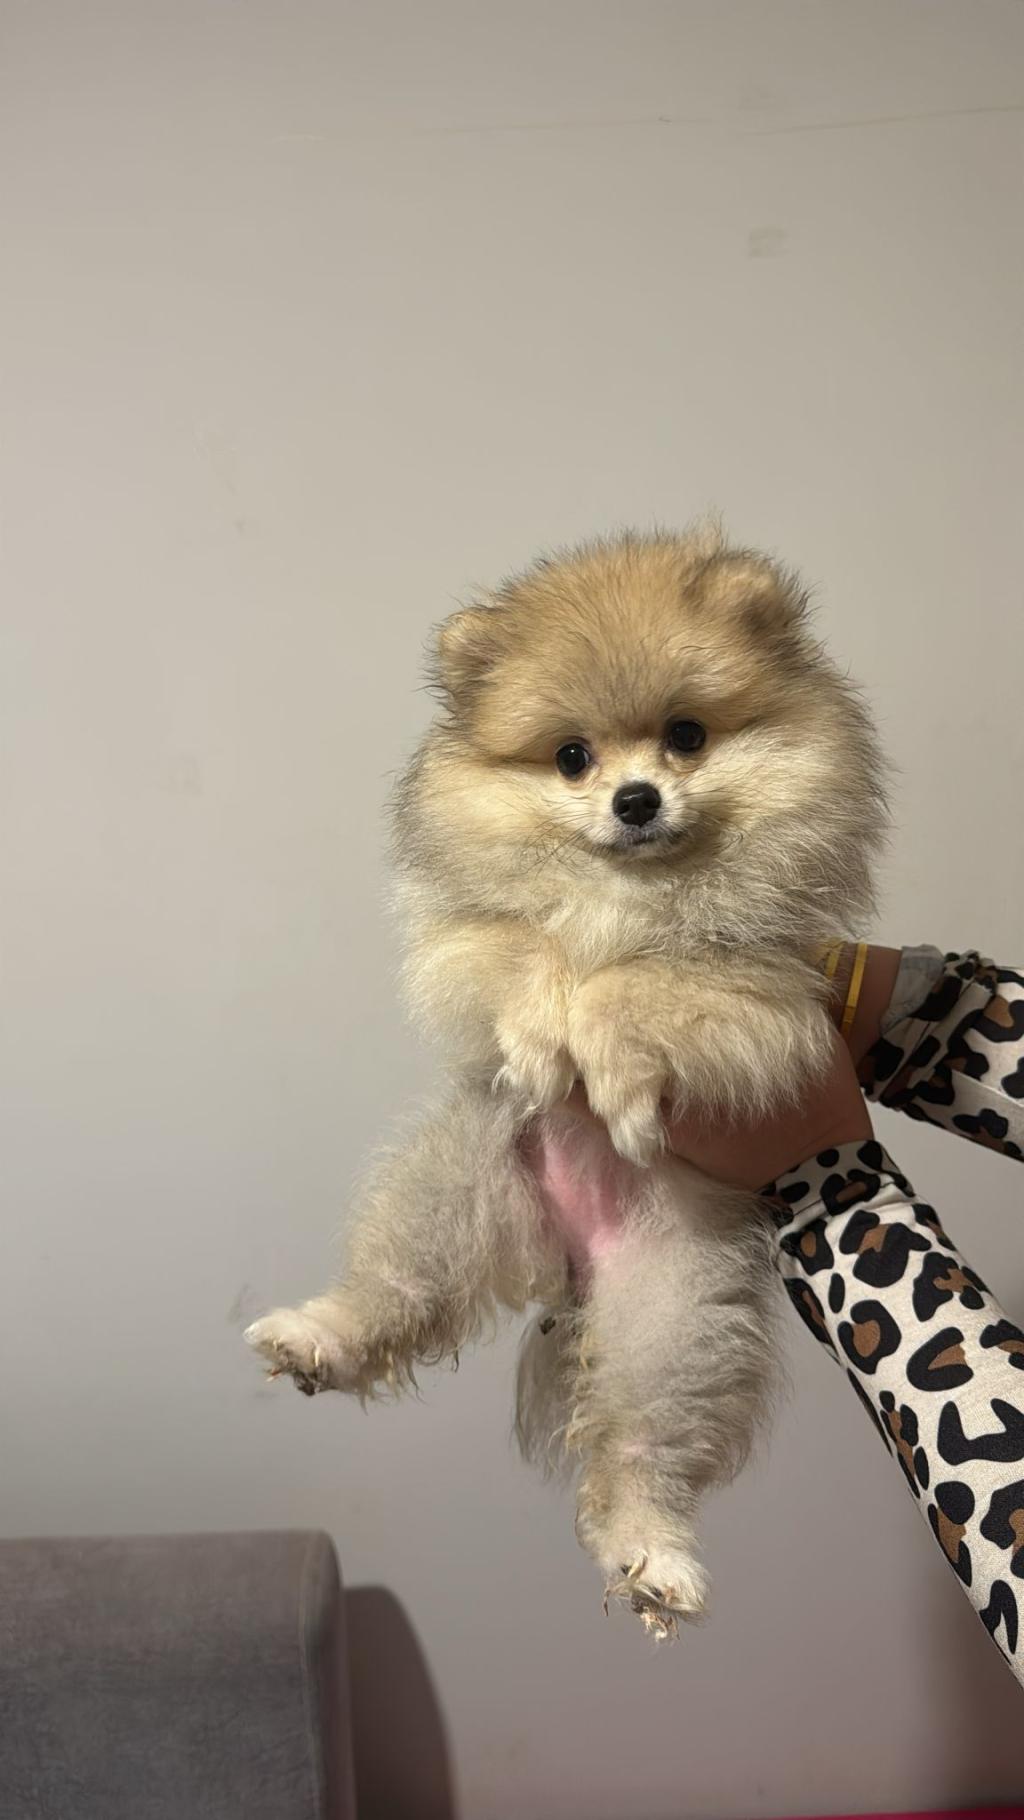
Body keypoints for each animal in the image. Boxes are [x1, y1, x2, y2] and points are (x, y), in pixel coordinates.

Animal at [246, 526, 885, 1634]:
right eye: (572, 757)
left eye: (685, 736)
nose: (634, 798)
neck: (627, 892)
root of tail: (563, 1262)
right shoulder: (463, 944)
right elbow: (530, 950)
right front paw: (553, 1029)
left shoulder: (765, 993)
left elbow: (646, 980)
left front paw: (611, 1050)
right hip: (457, 1184)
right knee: (392, 1289)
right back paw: (317, 1337)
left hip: (670, 1305)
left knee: (639, 1448)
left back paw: (652, 1553)